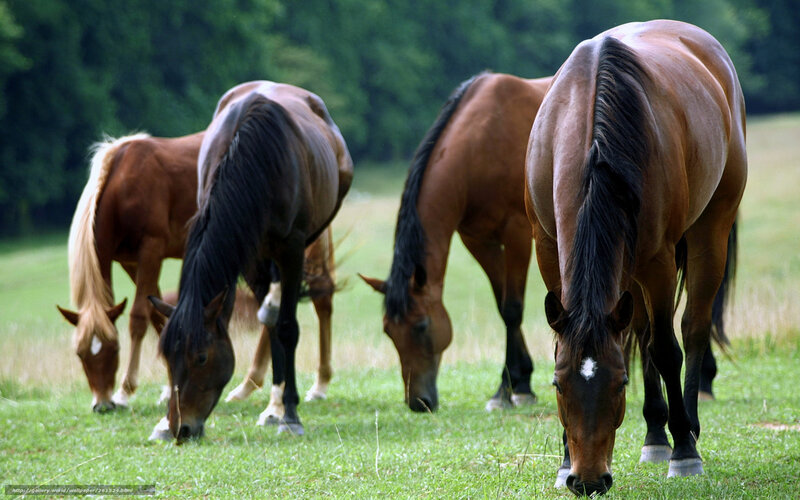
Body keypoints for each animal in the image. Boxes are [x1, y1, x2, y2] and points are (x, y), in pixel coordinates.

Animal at [58, 132, 338, 414]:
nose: (102, 404)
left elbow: (138, 317)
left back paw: (318, 385)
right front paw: (169, 386)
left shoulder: (151, 250)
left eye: (114, 348)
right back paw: (249, 385)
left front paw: (125, 391)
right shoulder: (131, 262)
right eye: (80, 353)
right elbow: (159, 315)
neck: (121, 183)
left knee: (320, 300)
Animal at [149, 81, 352, 441]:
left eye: (201, 358)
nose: (181, 428)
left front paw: (290, 415)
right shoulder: (248, 254)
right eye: (167, 358)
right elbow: (272, 327)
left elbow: (287, 328)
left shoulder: (291, 249)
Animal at [361, 72, 551, 412]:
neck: (481, 146)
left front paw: (509, 390)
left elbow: (513, 309)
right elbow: (502, 306)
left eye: (422, 326)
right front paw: (518, 382)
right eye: (388, 331)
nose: (418, 402)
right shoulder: (479, 241)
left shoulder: (516, 234)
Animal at [524, 20, 746, 496]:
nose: (588, 481)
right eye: (558, 384)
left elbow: (666, 349)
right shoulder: (547, 248)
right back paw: (655, 435)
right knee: (641, 332)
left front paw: (684, 452)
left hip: (709, 231)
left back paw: (686, 429)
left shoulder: (658, 261)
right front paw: (563, 461)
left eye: (620, 382)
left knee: (692, 328)